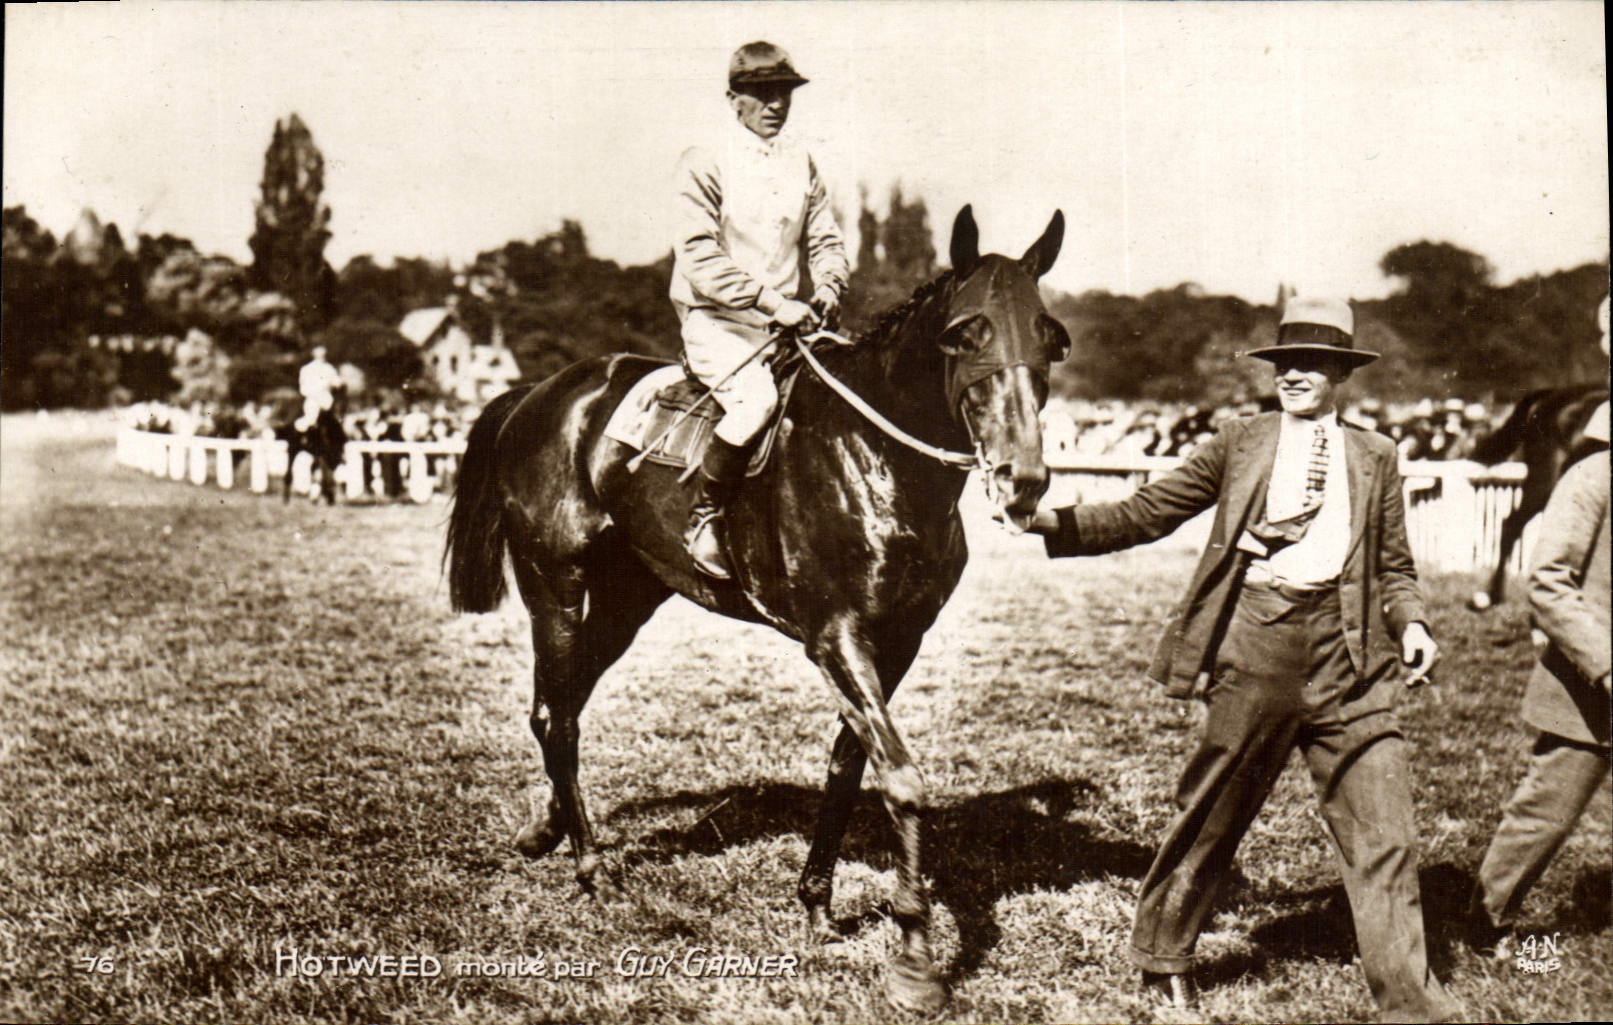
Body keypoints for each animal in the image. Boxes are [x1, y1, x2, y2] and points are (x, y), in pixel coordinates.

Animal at [444, 205, 1067, 1014]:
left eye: (1050, 335)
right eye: (965, 332)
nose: (1024, 478)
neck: (873, 457)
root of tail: (537, 394)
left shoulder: (897, 640)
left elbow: (848, 765)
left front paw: (817, 903)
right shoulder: (836, 637)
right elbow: (900, 778)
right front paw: (914, 957)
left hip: (626, 597)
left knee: (560, 703)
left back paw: (545, 830)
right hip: (555, 586)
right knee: (560, 716)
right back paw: (590, 868)